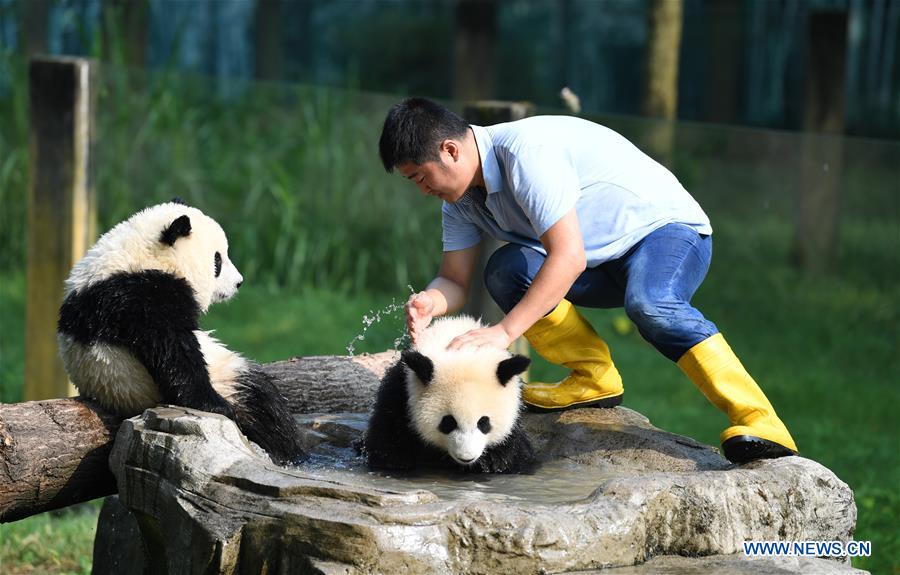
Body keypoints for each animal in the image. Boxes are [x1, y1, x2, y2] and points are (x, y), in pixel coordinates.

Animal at [59, 200, 308, 466]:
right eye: (218, 260)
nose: (238, 283)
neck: (141, 256)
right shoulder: (142, 296)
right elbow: (172, 350)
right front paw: (216, 407)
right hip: (219, 377)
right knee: (261, 401)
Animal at [362, 318, 536, 474]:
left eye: (484, 422)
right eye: (448, 422)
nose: (466, 458)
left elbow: (515, 455)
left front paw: (492, 462)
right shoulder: (400, 393)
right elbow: (387, 445)